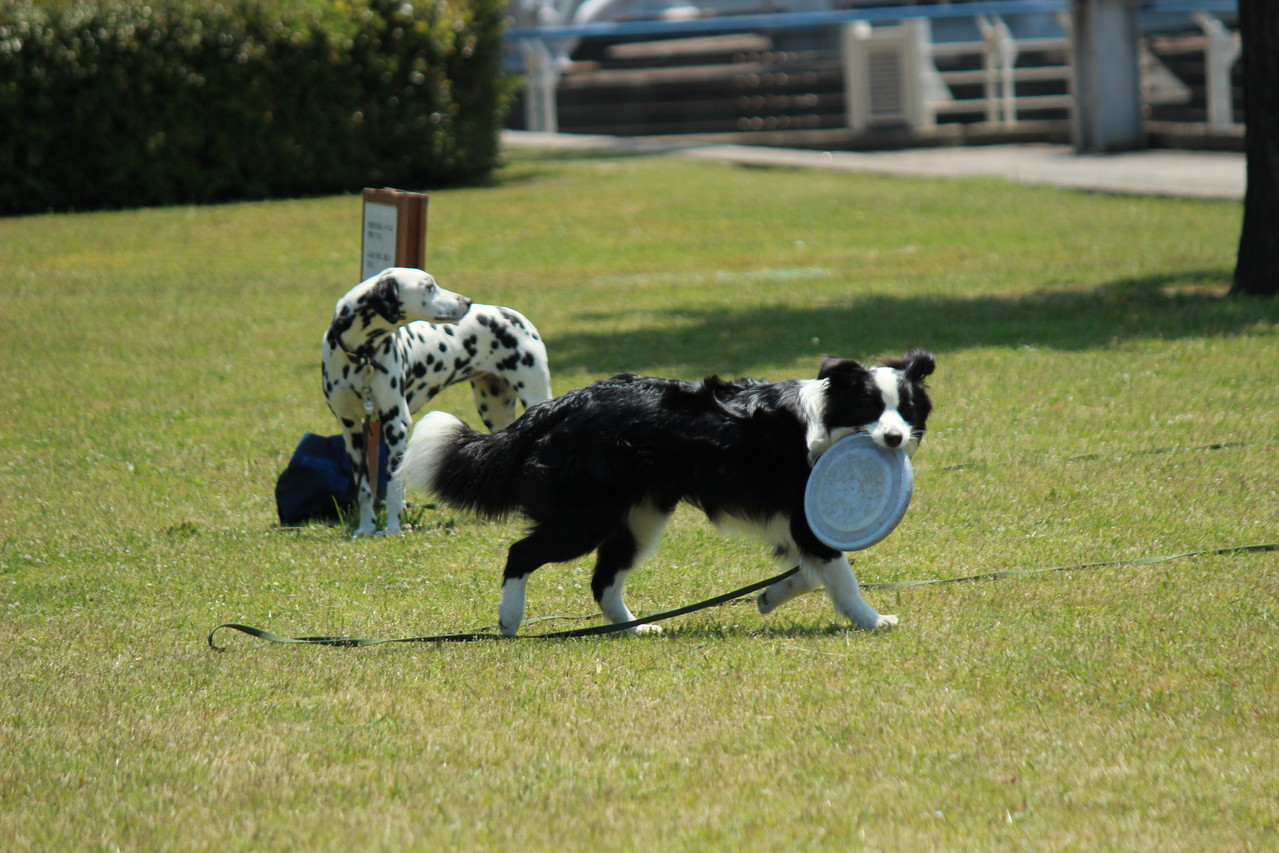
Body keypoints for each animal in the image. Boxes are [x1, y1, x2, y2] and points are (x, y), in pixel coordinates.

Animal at [319, 267, 549, 534]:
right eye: (429, 286)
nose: (466, 301)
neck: (360, 356)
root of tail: (512, 315)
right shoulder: (352, 429)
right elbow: (364, 490)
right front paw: (366, 528)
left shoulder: (396, 424)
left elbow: (394, 485)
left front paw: (393, 529)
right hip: (494, 411)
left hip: (534, 397)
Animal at [393, 347, 936, 634]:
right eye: (870, 408)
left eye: (907, 409)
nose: (894, 439)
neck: (826, 422)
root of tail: (561, 404)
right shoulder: (804, 515)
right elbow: (842, 575)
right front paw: (873, 620)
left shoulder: (796, 524)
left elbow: (809, 571)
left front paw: (770, 597)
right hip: (587, 516)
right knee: (520, 552)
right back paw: (510, 618)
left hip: (640, 517)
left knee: (603, 581)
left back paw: (634, 628)